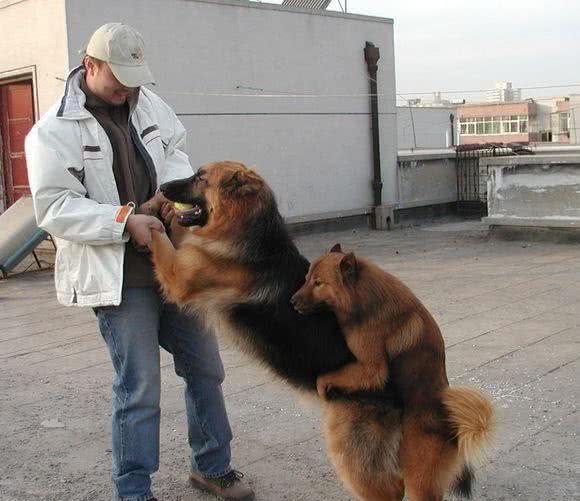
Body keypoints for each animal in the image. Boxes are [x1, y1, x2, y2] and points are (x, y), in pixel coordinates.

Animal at [290, 246, 494, 500]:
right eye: (307, 279)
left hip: (418, 479)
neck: (364, 296)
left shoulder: (371, 367)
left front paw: (322, 385)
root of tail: (453, 425)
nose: (291, 301)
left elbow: (330, 376)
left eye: (318, 283)